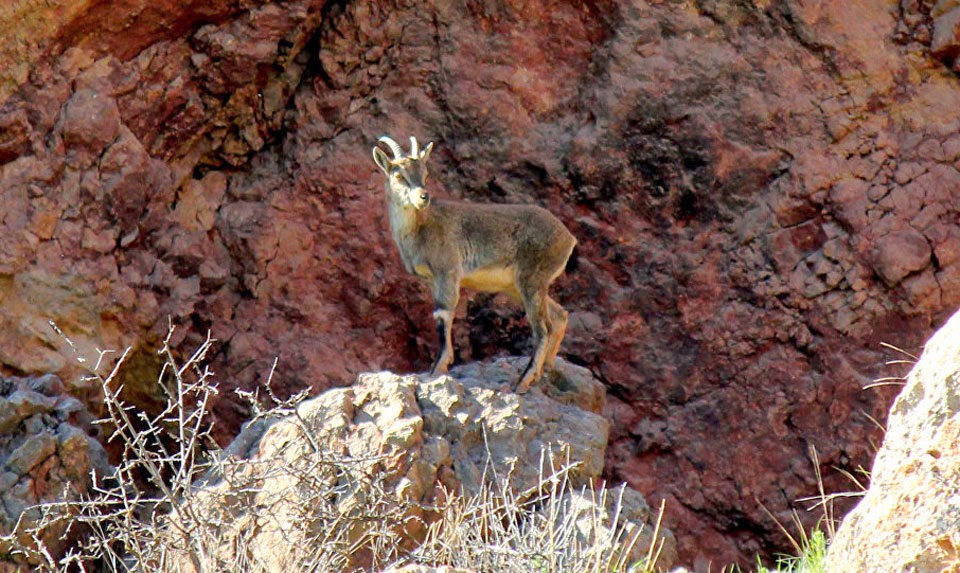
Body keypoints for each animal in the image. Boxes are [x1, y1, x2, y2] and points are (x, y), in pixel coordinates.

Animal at [372, 135, 577, 393]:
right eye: (399, 175)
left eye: (425, 173)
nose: (423, 197)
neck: (422, 227)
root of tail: (569, 238)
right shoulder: (432, 280)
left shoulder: (448, 271)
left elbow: (443, 313)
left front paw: (438, 367)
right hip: (519, 287)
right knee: (559, 315)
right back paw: (545, 371)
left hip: (532, 280)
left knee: (542, 328)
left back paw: (523, 381)